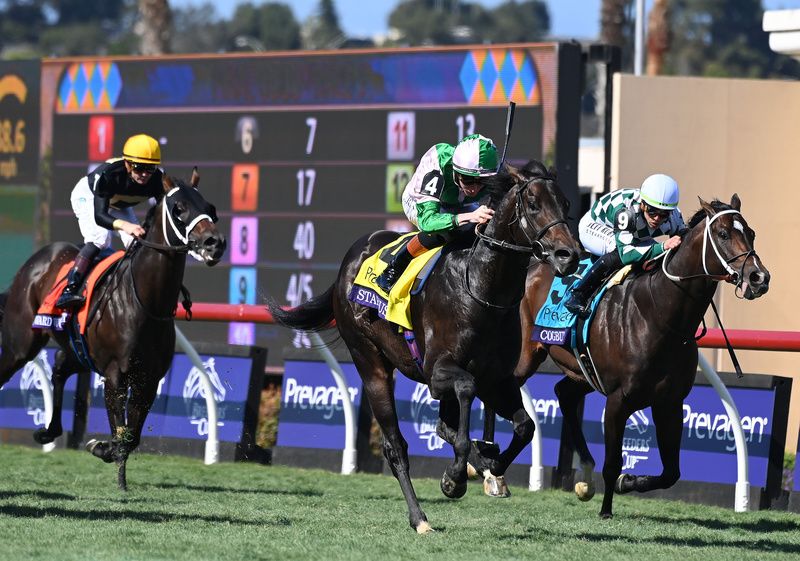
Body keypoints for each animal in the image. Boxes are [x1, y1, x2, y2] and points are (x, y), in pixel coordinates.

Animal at [0, 172, 225, 490]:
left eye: (210, 208)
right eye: (179, 208)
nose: (214, 243)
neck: (145, 300)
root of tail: (36, 260)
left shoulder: (148, 379)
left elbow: (130, 436)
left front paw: (113, 464)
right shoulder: (114, 374)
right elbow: (121, 431)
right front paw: (105, 453)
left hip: (77, 350)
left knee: (59, 368)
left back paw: (49, 431)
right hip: (21, 344)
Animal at [266, 161, 580, 528]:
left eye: (566, 204)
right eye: (532, 204)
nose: (569, 255)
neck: (480, 289)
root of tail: (349, 262)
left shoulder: (498, 380)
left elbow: (525, 426)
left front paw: (491, 468)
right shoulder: (437, 371)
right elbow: (466, 391)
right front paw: (456, 477)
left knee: (445, 425)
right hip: (370, 363)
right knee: (396, 447)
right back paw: (420, 518)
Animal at [512, 195, 768, 520]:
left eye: (752, 233)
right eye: (723, 234)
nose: (759, 277)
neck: (659, 313)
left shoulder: (669, 402)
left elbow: (671, 473)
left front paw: (629, 482)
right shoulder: (618, 400)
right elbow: (613, 463)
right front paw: (606, 510)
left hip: (581, 370)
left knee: (564, 393)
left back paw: (584, 475)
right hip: (524, 357)